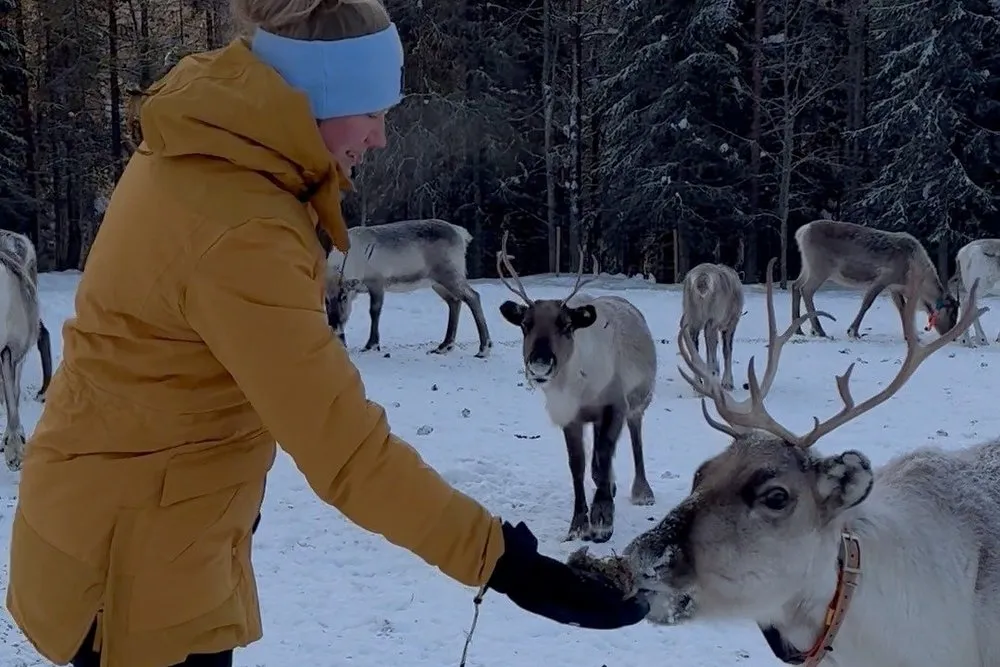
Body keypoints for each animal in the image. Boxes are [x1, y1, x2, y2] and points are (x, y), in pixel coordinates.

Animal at [324, 219, 493, 358]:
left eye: (343, 296)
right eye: (326, 300)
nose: (334, 324)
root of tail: (460, 232)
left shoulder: (377, 283)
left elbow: (374, 312)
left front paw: (371, 344)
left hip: (450, 274)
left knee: (472, 296)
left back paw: (484, 348)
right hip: (437, 282)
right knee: (455, 302)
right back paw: (444, 346)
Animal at [496, 231, 657, 543]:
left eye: (567, 325)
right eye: (525, 324)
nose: (540, 364)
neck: (574, 387)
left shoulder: (614, 406)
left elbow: (602, 459)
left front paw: (603, 521)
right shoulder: (571, 417)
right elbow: (578, 465)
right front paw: (579, 524)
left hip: (639, 400)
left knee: (636, 437)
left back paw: (642, 491)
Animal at [680, 262, 745, 391]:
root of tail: (701, 278)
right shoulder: (730, 324)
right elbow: (727, 350)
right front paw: (728, 383)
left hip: (692, 318)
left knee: (694, 350)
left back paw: (698, 384)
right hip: (711, 321)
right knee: (711, 351)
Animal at [791, 219, 959, 340]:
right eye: (952, 313)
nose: (951, 336)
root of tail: (801, 232)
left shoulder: (894, 288)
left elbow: (902, 309)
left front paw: (910, 336)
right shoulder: (883, 278)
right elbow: (867, 303)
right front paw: (853, 331)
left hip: (806, 266)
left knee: (795, 285)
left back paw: (798, 328)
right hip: (819, 268)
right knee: (806, 290)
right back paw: (819, 330)